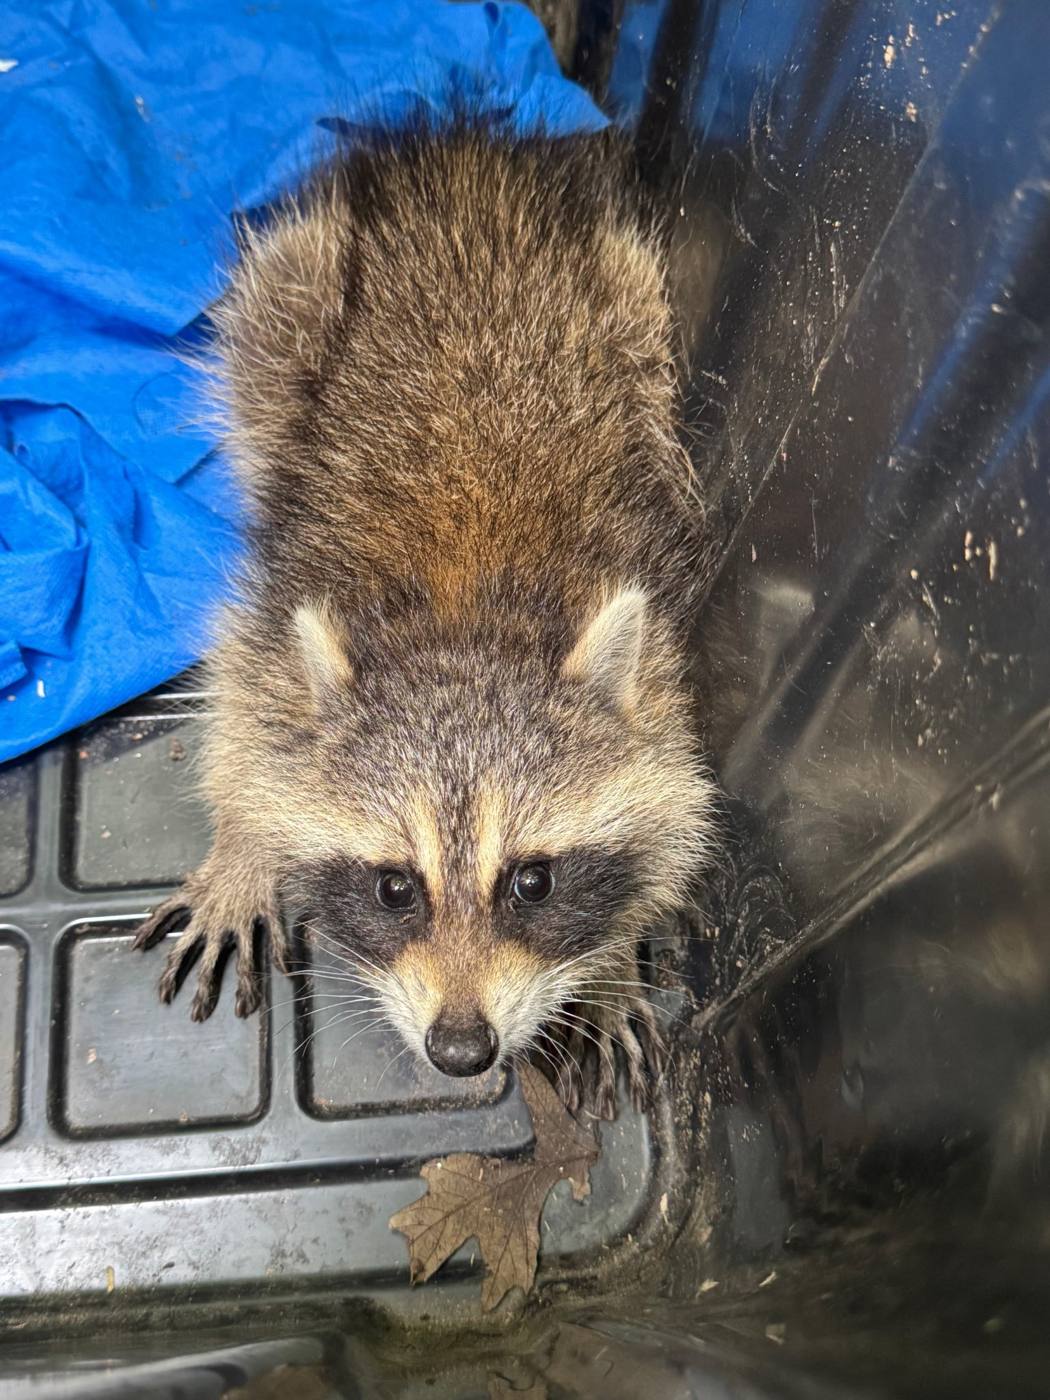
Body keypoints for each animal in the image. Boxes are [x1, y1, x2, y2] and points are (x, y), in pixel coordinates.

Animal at [133, 116, 718, 1118]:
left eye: (532, 881)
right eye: (395, 887)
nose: (461, 1049)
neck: (466, 620)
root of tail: (467, 159)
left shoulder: (662, 653)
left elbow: (680, 802)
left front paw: (610, 951)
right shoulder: (277, 607)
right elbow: (243, 709)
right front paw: (244, 842)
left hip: (631, 301)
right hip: (295, 293)